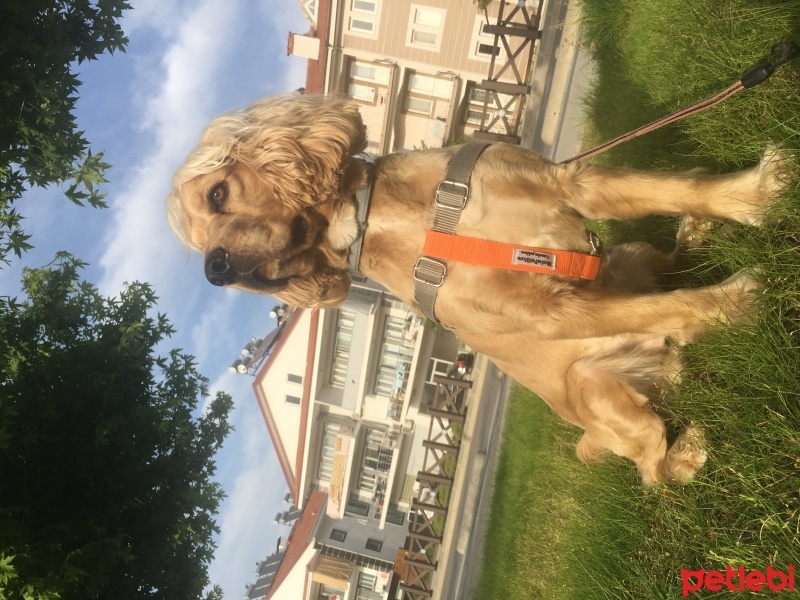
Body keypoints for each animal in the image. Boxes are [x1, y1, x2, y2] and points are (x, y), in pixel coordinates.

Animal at [166, 95, 784, 488]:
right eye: (201, 243)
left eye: (218, 194)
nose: (216, 270)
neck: (407, 222)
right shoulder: (549, 312)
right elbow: (671, 307)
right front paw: (733, 303)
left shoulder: (573, 185)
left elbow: (678, 190)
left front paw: (756, 194)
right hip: (599, 392)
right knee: (653, 471)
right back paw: (687, 453)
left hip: (629, 256)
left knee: (667, 268)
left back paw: (694, 236)